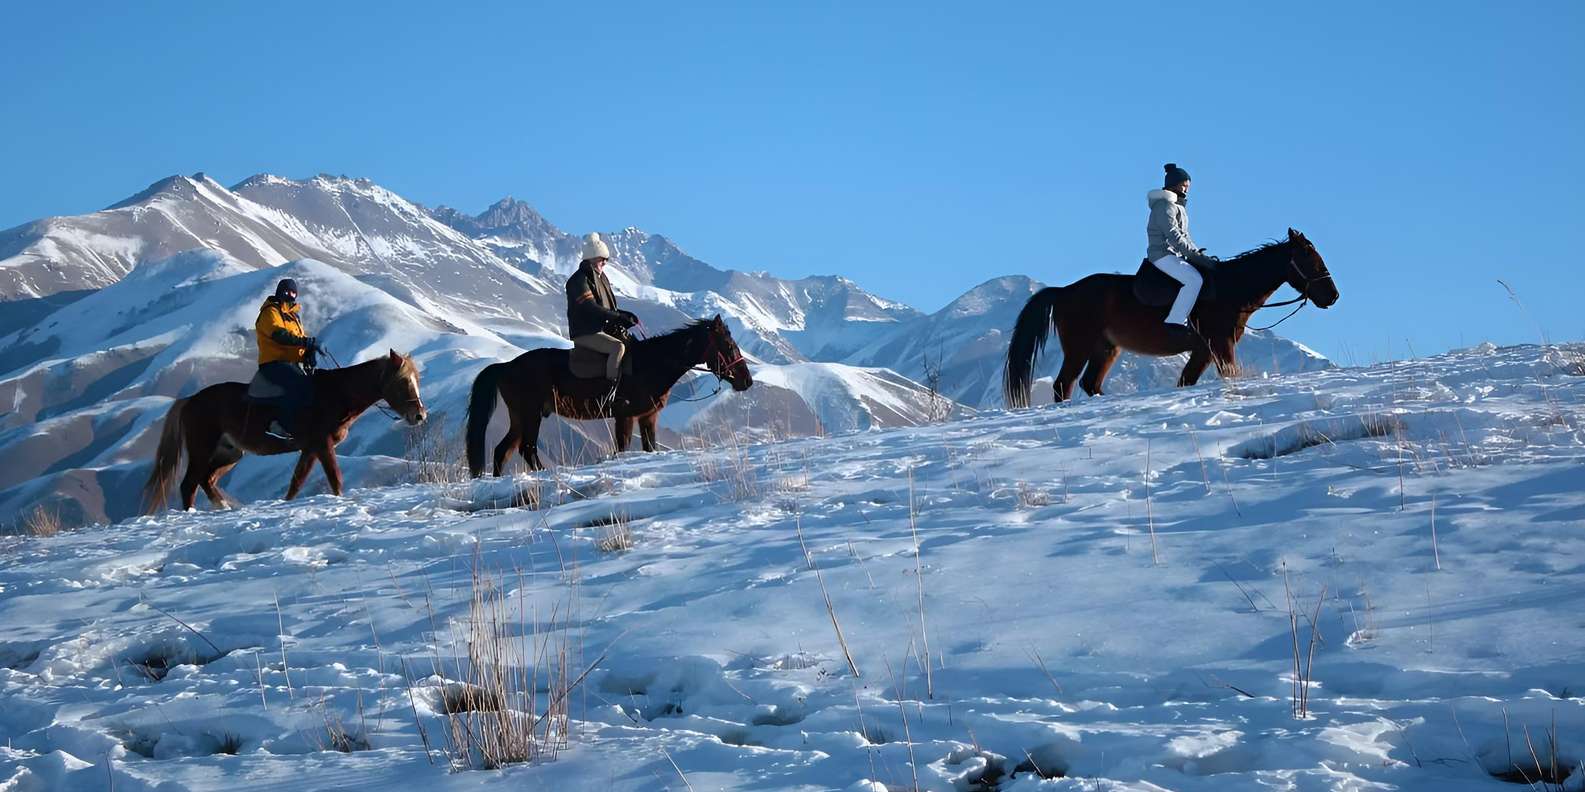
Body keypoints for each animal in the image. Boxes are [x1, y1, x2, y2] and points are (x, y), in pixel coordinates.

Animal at [142, 350, 427, 512]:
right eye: (403, 381)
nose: (419, 415)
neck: (336, 394)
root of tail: (189, 400)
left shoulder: (310, 449)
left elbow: (296, 482)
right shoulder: (322, 444)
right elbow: (335, 479)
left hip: (230, 453)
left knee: (207, 480)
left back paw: (223, 507)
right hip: (202, 450)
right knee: (189, 484)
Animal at [466, 316, 753, 477]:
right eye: (728, 346)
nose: (746, 381)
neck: (651, 364)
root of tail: (506, 366)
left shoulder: (648, 417)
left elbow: (650, 447)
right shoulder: (625, 416)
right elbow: (622, 447)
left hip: (519, 417)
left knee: (502, 451)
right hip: (530, 415)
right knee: (527, 449)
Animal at [1004, 228, 1339, 407]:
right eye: (1310, 258)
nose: (1332, 296)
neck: (1230, 289)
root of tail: (1063, 291)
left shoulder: (1204, 351)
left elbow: (1186, 381)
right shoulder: (1220, 346)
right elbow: (1228, 375)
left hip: (1106, 349)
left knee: (1089, 383)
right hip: (1079, 347)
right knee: (1063, 386)